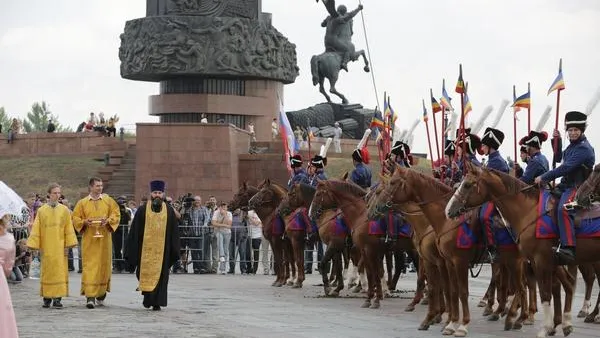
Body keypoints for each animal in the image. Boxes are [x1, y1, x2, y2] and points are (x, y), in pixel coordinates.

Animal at [442, 162, 600, 336]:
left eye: (467, 185)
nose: (448, 211)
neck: (528, 212)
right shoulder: (540, 261)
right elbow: (545, 289)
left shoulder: (540, 261)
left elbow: (544, 293)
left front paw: (543, 328)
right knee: (569, 283)